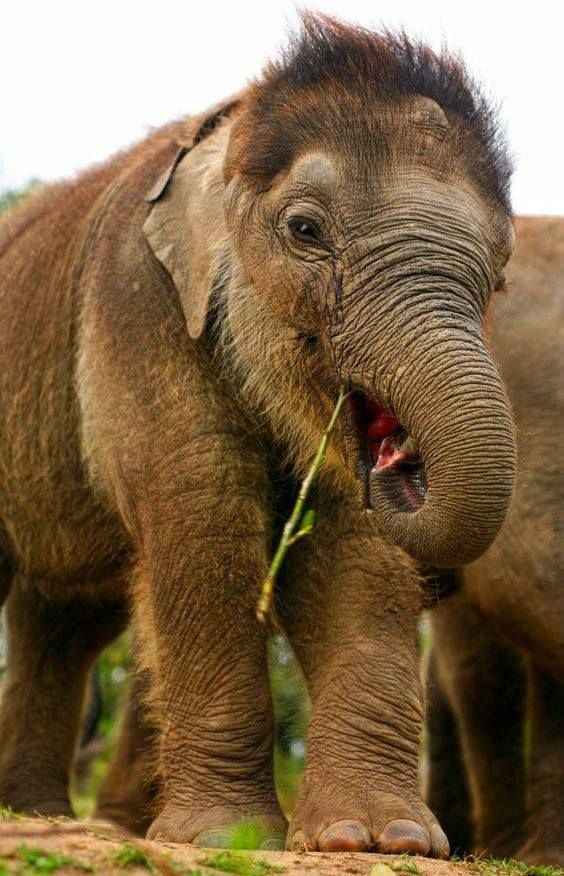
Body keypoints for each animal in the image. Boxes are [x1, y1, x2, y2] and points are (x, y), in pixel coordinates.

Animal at [0, 14, 516, 854]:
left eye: (499, 274)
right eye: (305, 230)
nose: (400, 455)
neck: (237, 121)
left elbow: (353, 545)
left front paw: (379, 839)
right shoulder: (137, 298)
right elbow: (203, 513)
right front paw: (224, 838)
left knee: (64, 619)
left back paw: (36, 814)